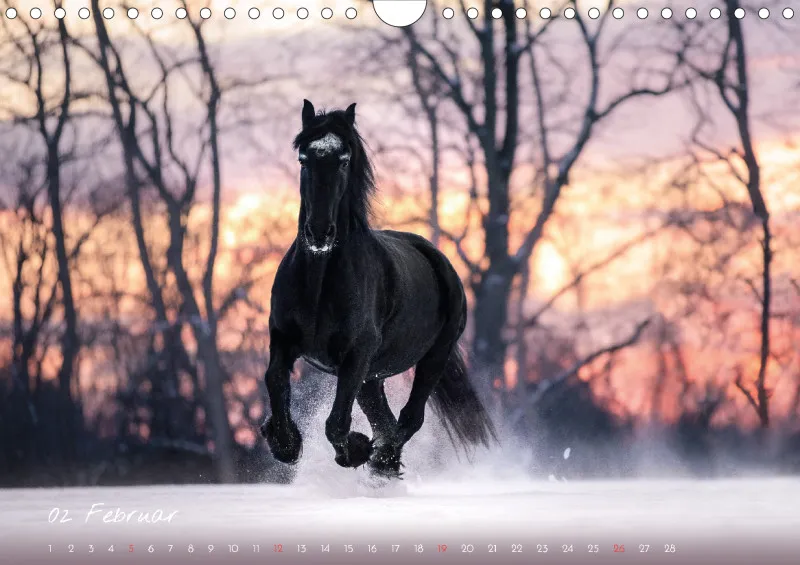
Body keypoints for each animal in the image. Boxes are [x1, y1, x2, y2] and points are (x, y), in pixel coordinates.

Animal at [260, 100, 497, 479]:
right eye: (304, 159)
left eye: (343, 159)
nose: (319, 233)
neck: (319, 283)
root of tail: (435, 257)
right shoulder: (284, 341)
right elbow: (274, 382)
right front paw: (284, 442)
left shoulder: (355, 356)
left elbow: (336, 425)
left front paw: (356, 450)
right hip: (372, 377)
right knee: (385, 420)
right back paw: (383, 463)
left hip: (432, 357)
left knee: (408, 419)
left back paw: (381, 461)